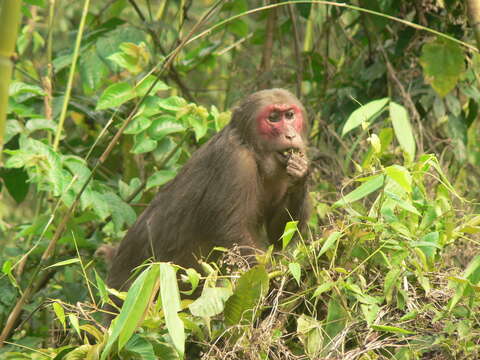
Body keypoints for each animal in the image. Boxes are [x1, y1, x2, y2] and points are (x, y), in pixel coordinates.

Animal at [106, 88, 312, 294]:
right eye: (274, 118)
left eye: (290, 115)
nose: (290, 135)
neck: (252, 149)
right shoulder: (235, 161)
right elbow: (234, 233)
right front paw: (265, 279)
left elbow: (280, 232)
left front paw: (301, 172)